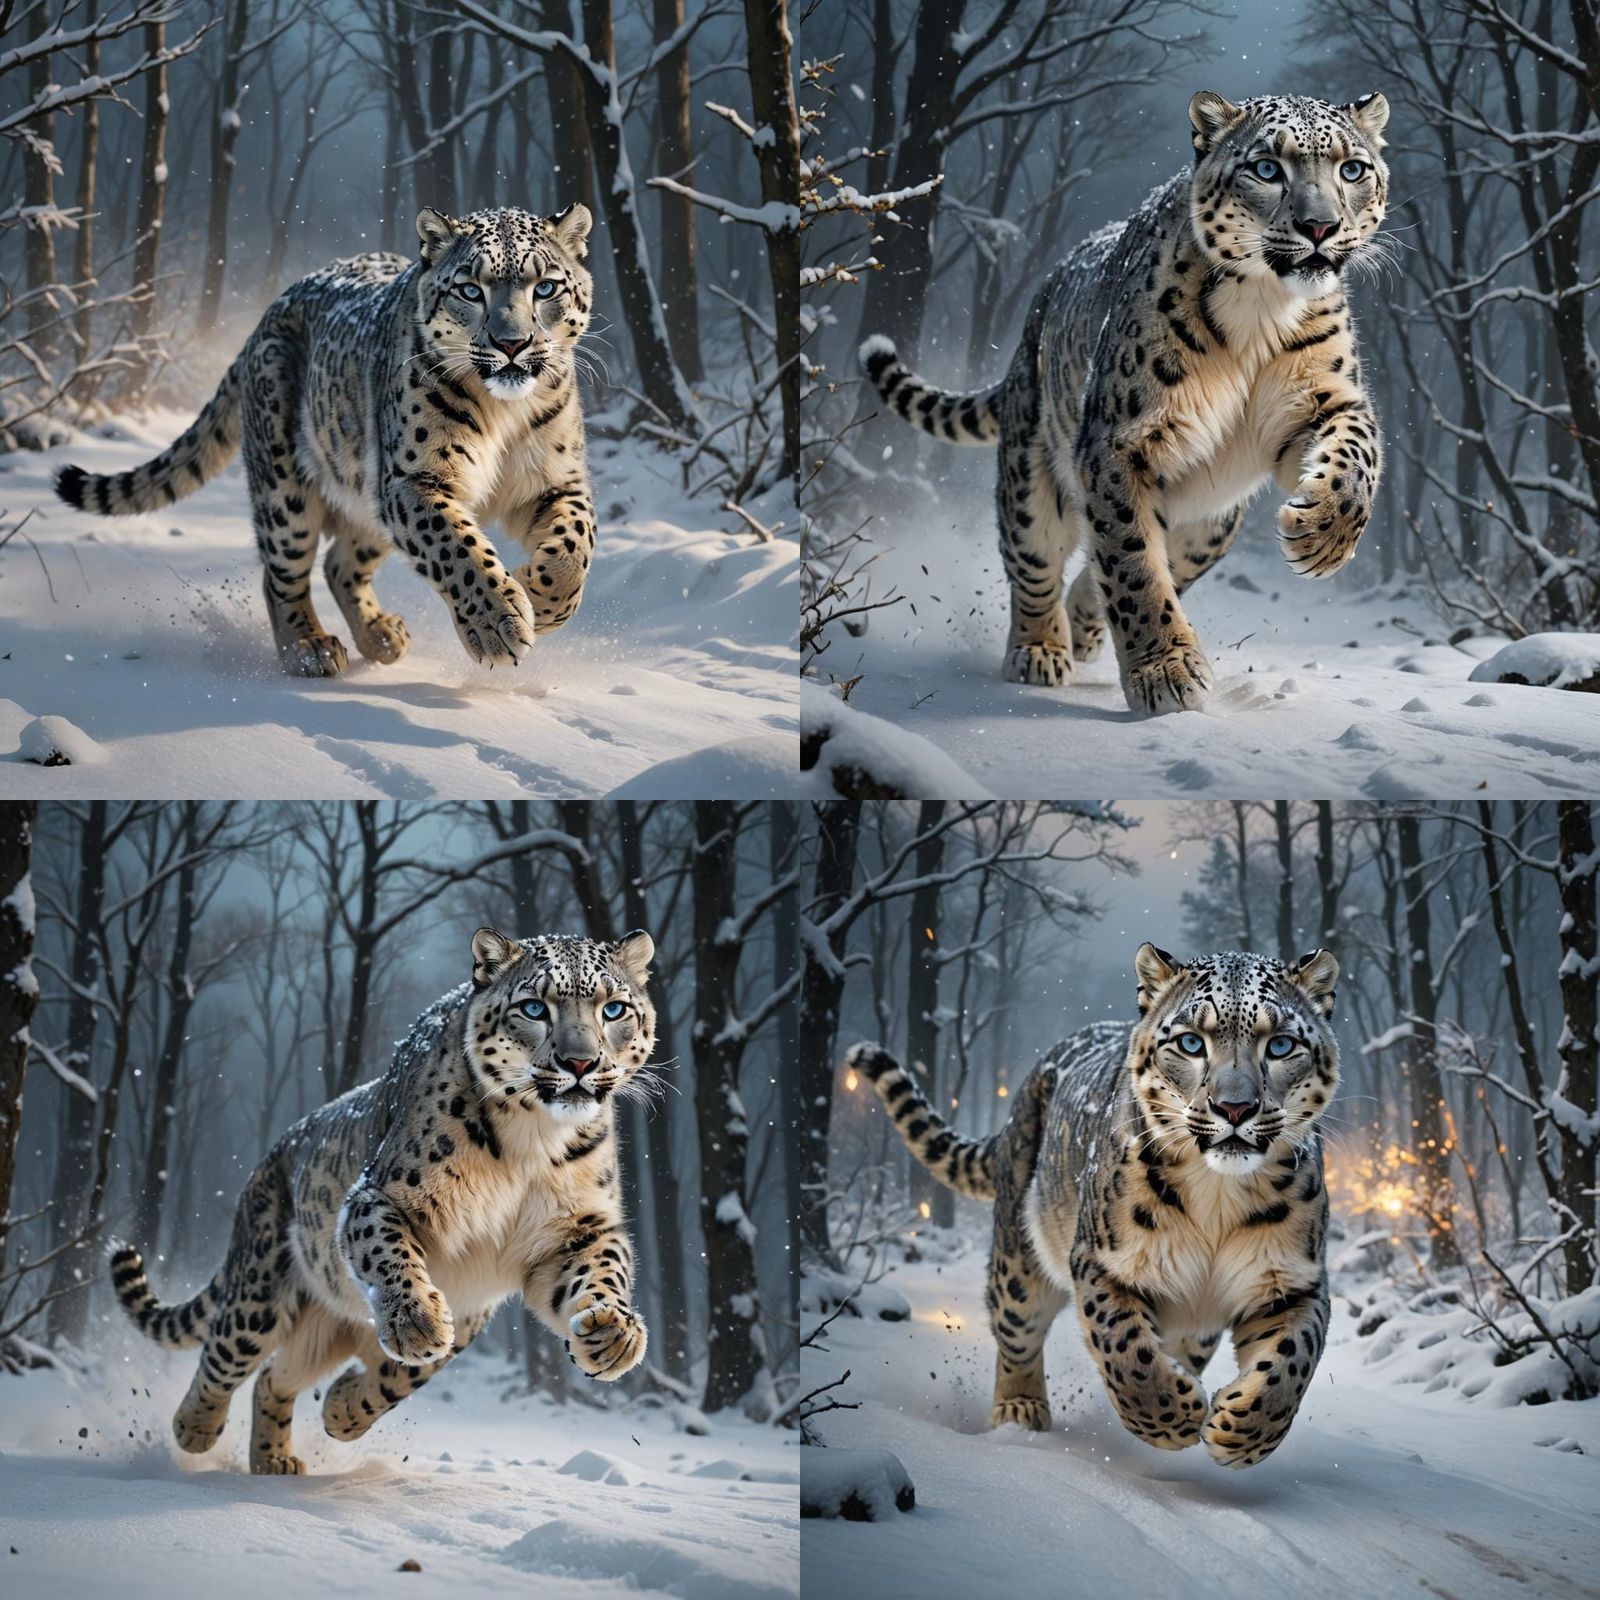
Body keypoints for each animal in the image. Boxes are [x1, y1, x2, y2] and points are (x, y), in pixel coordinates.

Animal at [56, 204, 598, 677]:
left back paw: (381, 635)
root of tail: (267, 316)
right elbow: (455, 548)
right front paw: (497, 624)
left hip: (365, 493)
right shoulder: (413, 478)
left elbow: (576, 543)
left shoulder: (554, 479)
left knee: (342, 563)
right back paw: (310, 648)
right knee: (283, 572)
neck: (503, 413)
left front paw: (540, 599)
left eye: (545, 287)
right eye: (470, 289)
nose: (512, 344)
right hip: (286, 492)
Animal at [108, 927, 655, 1474]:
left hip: (341, 1330)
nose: (580, 1062)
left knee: (277, 1376)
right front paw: (416, 1323)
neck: (534, 1141)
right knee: (227, 1352)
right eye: (535, 1007)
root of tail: (272, 1156)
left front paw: (613, 1334)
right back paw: (195, 1429)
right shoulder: (378, 1195)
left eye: (614, 1009)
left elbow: (604, 1268)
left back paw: (295, 1444)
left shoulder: (576, 1230)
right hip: (260, 1289)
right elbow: (388, 1249)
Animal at [848, 942, 1341, 1469]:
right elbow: (1124, 1346)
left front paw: (1241, 1432)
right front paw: (1173, 1417)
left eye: (1281, 1045)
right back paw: (1020, 1412)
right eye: (1191, 1043)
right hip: (1017, 1256)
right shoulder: (1105, 1261)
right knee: (1016, 1328)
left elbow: (1292, 1360)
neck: (1218, 1196)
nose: (1234, 1108)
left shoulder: (1292, 1280)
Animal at [861, 91, 1390, 716]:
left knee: (1134, 562)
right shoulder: (1120, 443)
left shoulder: (1323, 400)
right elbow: (1133, 563)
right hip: (1030, 484)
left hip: (1213, 524)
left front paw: (1322, 537)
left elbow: (1357, 456)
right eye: (1266, 168)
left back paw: (1084, 626)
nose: (1319, 225)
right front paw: (1167, 674)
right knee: (1037, 562)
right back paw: (1040, 651)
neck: (1262, 310)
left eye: (1351, 169)